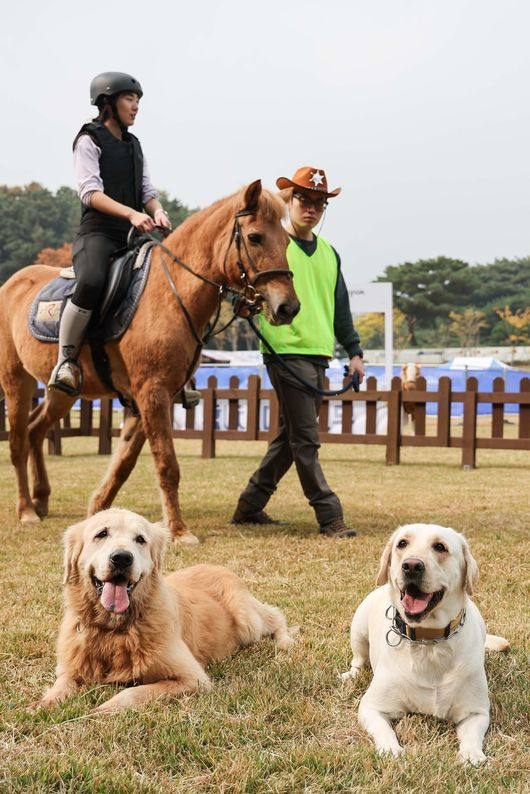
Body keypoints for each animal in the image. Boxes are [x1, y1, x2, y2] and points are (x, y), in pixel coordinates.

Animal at [0, 180, 296, 544]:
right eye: (255, 237)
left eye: (287, 241)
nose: (288, 307)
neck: (170, 293)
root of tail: (12, 283)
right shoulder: (151, 392)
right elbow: (166, 463)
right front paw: (179, 530)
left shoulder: (151, 396)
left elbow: (125, 462)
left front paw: (100, 510)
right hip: (16, 380)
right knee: (17, 441)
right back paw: (26, 509)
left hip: (63, 392)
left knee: (36, 431)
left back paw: (41, 499)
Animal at [34, 508, 292, 712]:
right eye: (102, 534)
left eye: (140, 539)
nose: (122, 558)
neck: (114, 629)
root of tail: (220, 567)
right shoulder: (70, 666)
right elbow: (62, 683)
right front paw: (45, 703)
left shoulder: (193, 678)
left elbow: (134, 692)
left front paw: (104, 708)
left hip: (248, 620)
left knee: (275, 615)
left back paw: (285, 641)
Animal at [340, 524, 510, 764]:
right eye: (402, 543)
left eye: (440, 547)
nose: (411, 566)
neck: (429, 640)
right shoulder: (371, 707)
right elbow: (383, 729)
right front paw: (390, 749)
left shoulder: (476, 712)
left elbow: (472, 736)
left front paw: (472, 754)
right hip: (358, 629)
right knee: (358, 660)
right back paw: (351, 675)